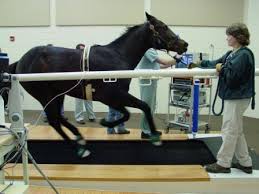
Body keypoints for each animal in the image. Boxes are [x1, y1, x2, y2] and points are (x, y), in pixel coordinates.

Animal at [9, 12, 188, 158]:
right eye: (163, 27)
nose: (184, 44)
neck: (117, 57)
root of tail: (20, 62)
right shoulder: (110, 96)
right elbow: (132, 111)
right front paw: (107, 123)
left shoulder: (117, 96)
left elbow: (143, 107)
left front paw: (155, 135)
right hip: (45, 95)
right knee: (54, 120)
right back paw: (79, 149)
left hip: (57, 94)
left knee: (57, 118)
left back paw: (79, 137)